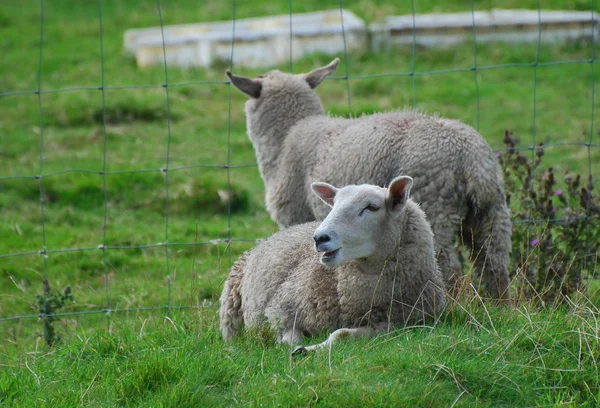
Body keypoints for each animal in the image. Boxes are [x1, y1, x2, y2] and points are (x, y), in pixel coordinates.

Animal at [220, 177, 446, 352]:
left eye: (371, 207)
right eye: (333, 205)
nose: (319, 238)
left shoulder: (403, 324)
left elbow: (341, 334)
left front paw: (310, 349)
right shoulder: (279, 311)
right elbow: (288, 339)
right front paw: (293, 346)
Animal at [225, 57, 510, 300]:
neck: (288, 136)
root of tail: (471, 161)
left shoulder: (295, 215)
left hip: (435, 205)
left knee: (449, 267)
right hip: (491, 213)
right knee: (494, 265)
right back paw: (501, 307)